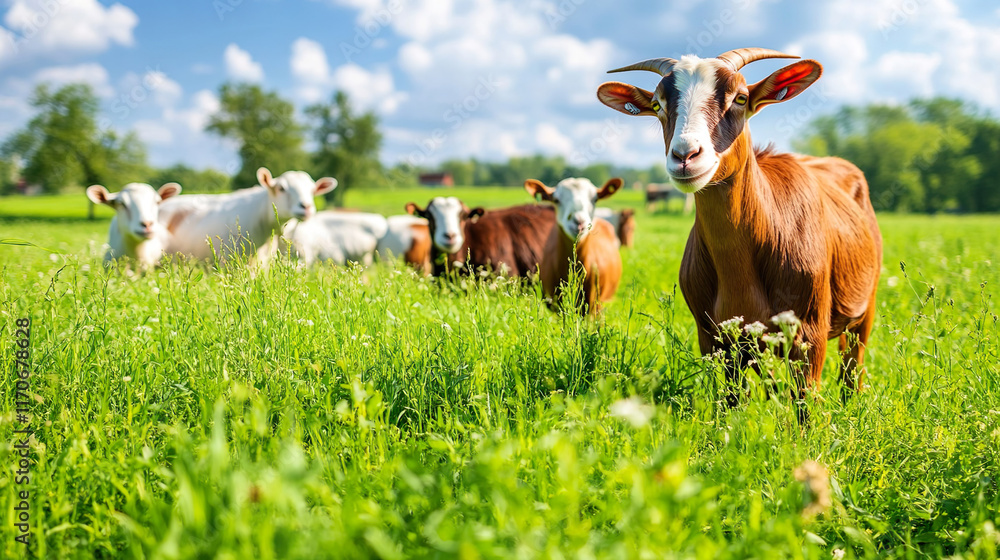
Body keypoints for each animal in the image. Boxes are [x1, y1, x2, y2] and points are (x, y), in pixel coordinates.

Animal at [597, 48, 882, 407]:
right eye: (658, 105)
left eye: (741, 98)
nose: (685, 155)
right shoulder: (715, 338)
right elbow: (733, 399)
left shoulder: (811, 332)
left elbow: (805, 401)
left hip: (865, 307)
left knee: (851, 369)